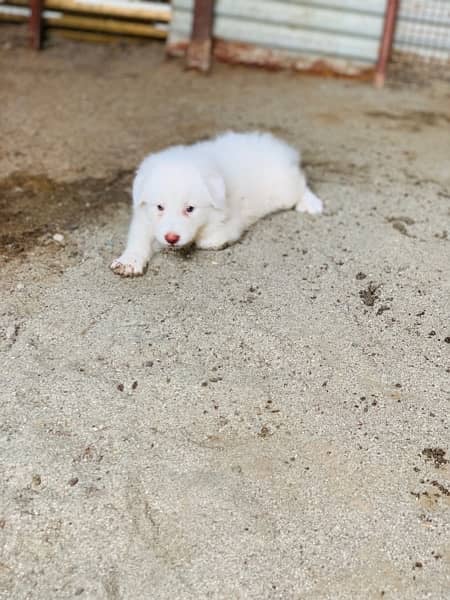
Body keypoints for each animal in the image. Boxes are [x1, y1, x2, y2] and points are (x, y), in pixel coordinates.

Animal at [112, 131, 324, 276]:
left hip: (284, 189)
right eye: (159, 207)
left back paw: (311, 203)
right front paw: (129, 261)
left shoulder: (231, 219)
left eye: (190, 209)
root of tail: (277, 147)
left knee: (300, 184)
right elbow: (138, 239)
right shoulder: (143, 218)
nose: (171, 238)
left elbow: (211, 237)